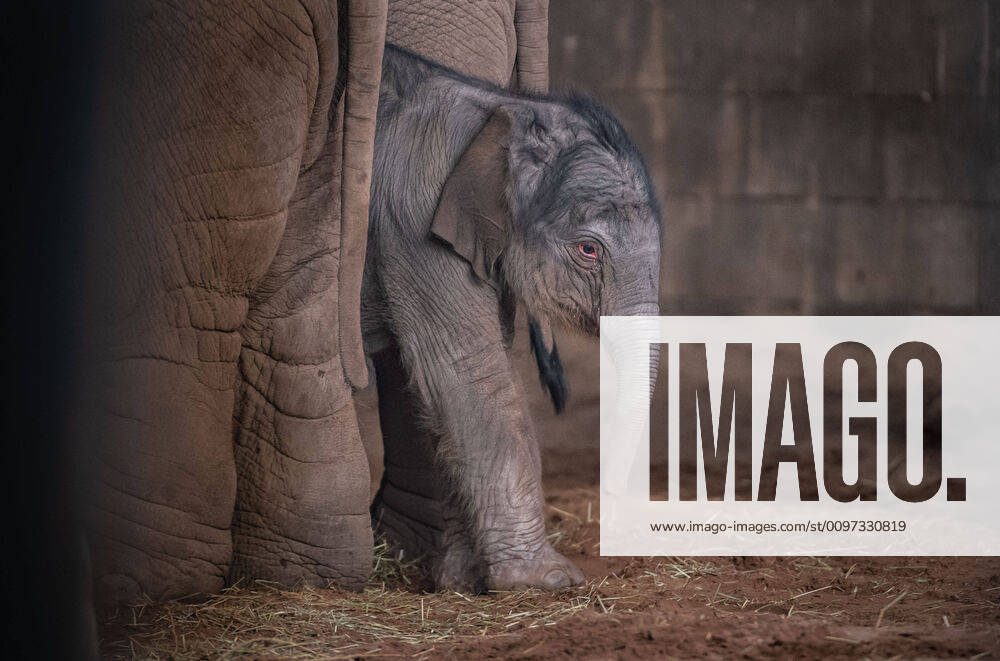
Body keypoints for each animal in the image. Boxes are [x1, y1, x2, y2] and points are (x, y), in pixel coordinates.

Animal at [362, 45, 662, 591]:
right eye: (588, 250)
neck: (506, 110)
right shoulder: (415, 221)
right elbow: (468, 370)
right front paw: (547, 580)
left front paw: (461, 582)